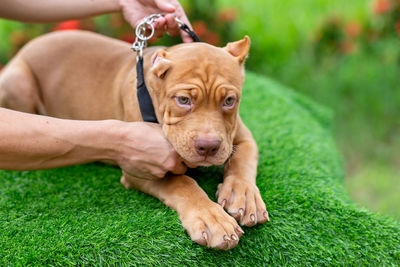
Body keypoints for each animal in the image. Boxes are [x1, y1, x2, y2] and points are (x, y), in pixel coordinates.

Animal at [0, 31, 268, 251]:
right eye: (183, 100)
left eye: (229, 101)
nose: (208, 147)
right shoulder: (140, 166)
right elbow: (183, 183)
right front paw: (211, 218)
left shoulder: (242, 137)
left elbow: (242, 161)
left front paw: (245, 196)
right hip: (18, 82)